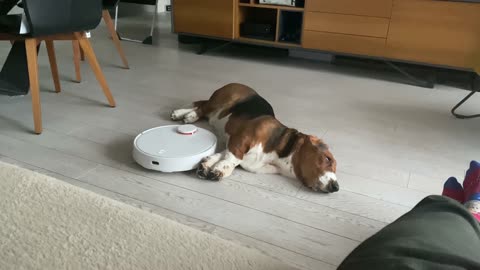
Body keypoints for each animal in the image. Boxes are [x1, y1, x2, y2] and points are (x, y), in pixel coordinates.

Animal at [171, 83, 340, 193]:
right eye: (327, 159)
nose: (336, 187)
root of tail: (236, 83)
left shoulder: (233, 146)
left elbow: (224, 155)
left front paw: (211, 166)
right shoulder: (241, 139)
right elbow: (234, 159)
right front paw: (221, 168)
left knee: (202, 107)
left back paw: (186, 114)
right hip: (223, 101)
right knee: (202, 106)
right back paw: (185, 114)